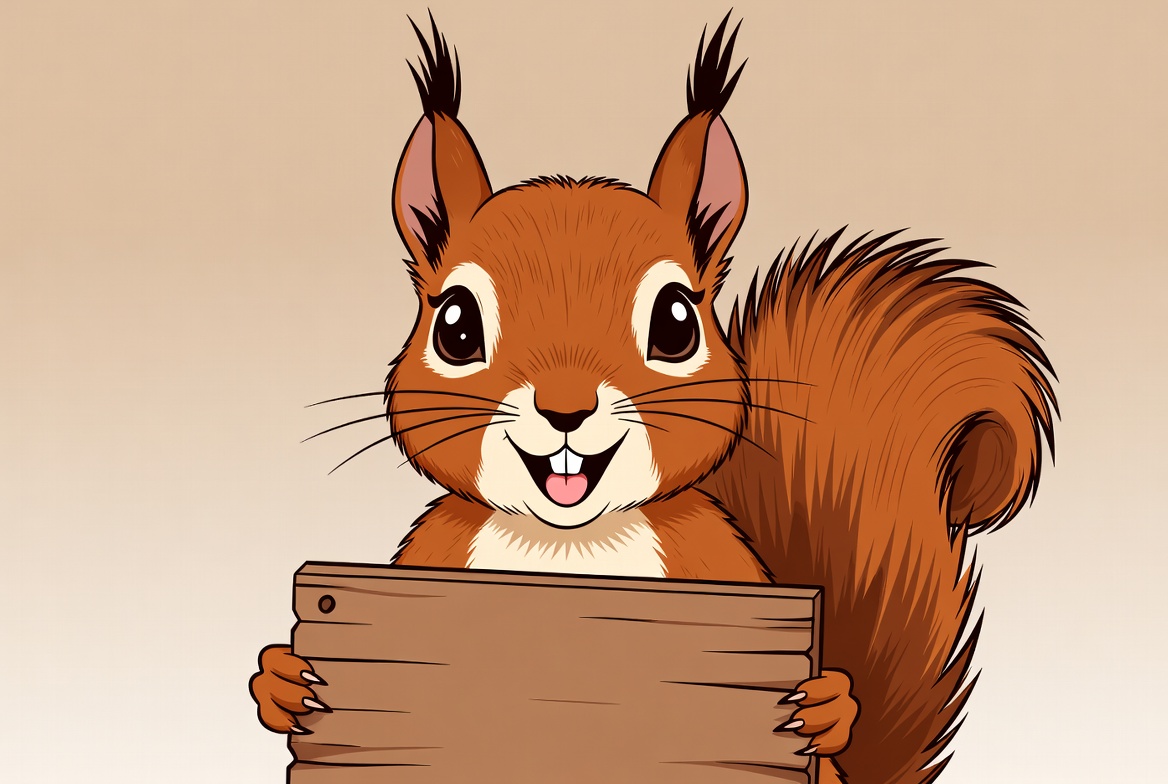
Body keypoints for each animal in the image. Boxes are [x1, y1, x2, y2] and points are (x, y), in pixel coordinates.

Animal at [249, 13, 1057, 784]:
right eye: (454, 326)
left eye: (676, 321)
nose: (566, 408)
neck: (568, 546)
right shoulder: (434, 560)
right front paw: (285, 680)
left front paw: (827, 701)